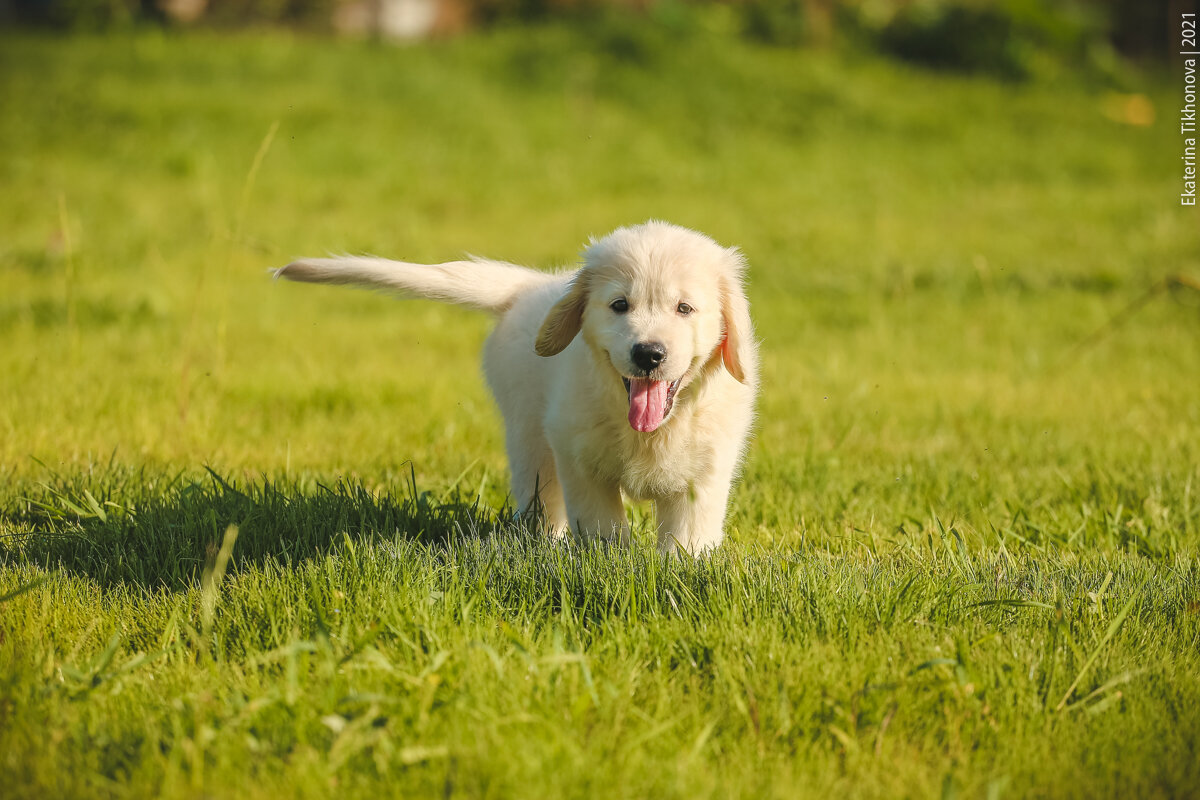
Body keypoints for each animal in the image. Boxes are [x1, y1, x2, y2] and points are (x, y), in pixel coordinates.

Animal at [276, 221, 753, 554]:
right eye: (620, 305)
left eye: (684, 308)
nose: (648, 354)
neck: (650, 429)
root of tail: (530, 285)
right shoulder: (578, 459)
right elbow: (602, 527)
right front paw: (610, 563)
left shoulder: (703, 474)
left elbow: (688, 539)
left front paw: (681, 569)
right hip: (530, 440)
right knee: (541, 501)